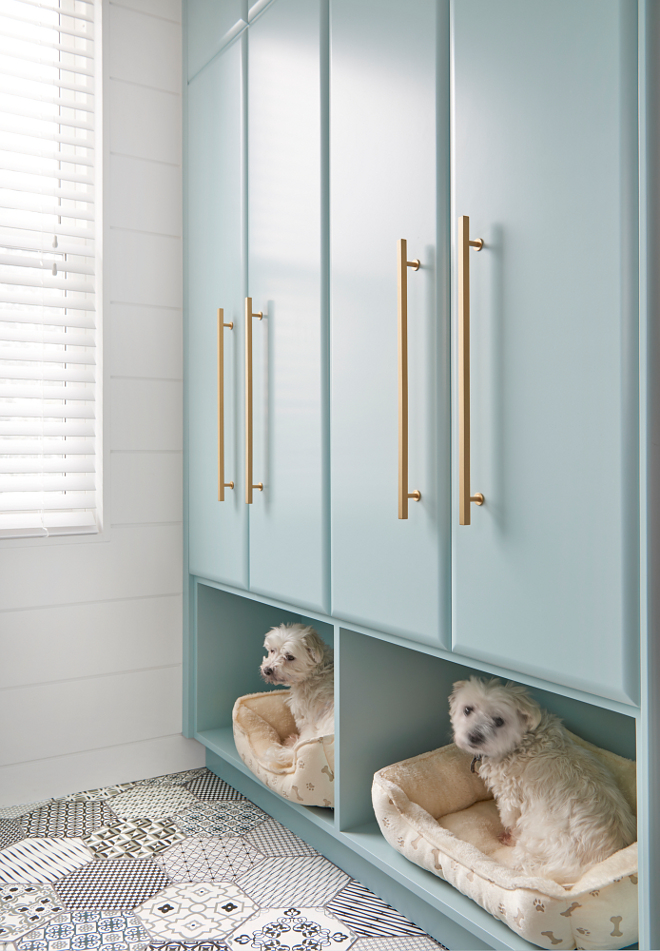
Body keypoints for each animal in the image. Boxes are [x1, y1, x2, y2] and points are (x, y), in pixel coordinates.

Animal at [448, 676, 636, 884]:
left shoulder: (510, 797)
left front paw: (508, 835)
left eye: (499, 720)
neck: (520, 742)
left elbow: (509, 818)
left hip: (534, 841)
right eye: (467, 709)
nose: (474, 736)